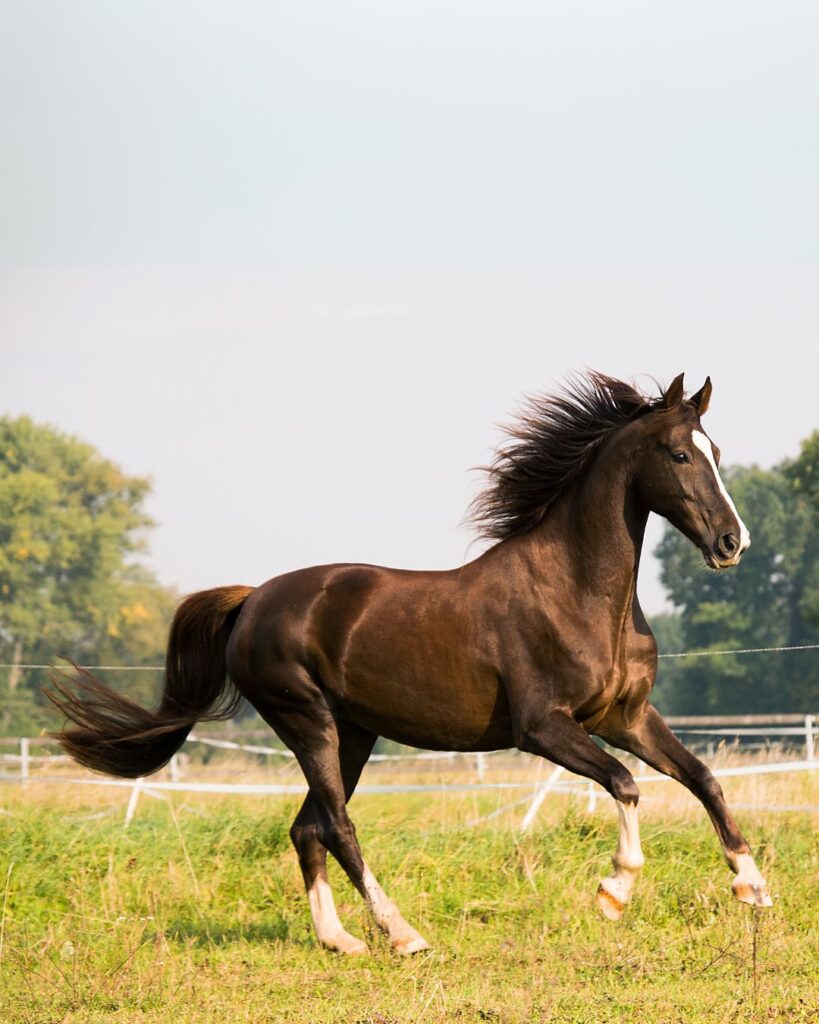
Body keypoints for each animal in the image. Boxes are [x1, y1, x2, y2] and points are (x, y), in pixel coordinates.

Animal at [49, 371, 772, 956]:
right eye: (679, 453)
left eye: (715, 452)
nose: (731, 543)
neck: (577, 593)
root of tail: (252, 600)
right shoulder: (543, 728)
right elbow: (625, 784)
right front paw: (613, 892)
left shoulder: (626, 717)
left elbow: (703, 778)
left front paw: (752, 885)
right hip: (307, 721)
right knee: (337, 826)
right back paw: (402, 934)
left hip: (353, 734)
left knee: (306, 827)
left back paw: (340, 940)